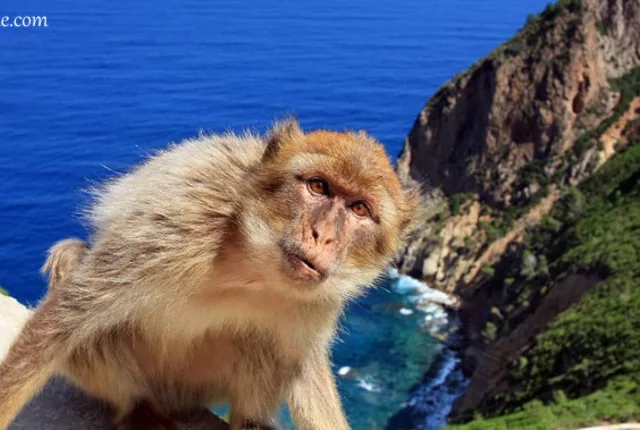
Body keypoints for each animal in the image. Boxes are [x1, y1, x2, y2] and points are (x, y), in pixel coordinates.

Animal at [0, 118, 419, 430]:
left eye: (360, 209)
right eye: (318, 186)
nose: (324, 235)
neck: (253, 262)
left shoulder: (319, 297)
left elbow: (301, 366)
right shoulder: (181, 222)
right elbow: (67, 318)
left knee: (259, 339)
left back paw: (250, 422)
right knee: (70, 263)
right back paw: (138, 407)